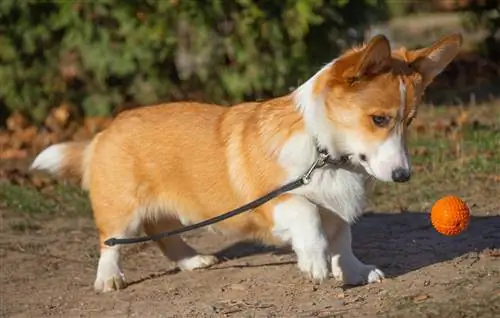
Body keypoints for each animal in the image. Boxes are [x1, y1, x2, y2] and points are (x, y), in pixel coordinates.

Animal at [31, 33, 460, 292]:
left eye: (409, 121)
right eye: (379, 119)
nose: (403, 176)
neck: (325, 153)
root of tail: (104, 133)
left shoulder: (337, 208)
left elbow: (342, 239)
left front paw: (354, 272)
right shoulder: (276, 199)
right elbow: (309, 218)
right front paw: (316, 264)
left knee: (164, 233)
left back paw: (193, 260)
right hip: (122, 207)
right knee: (111, 240)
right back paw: (109, 278)